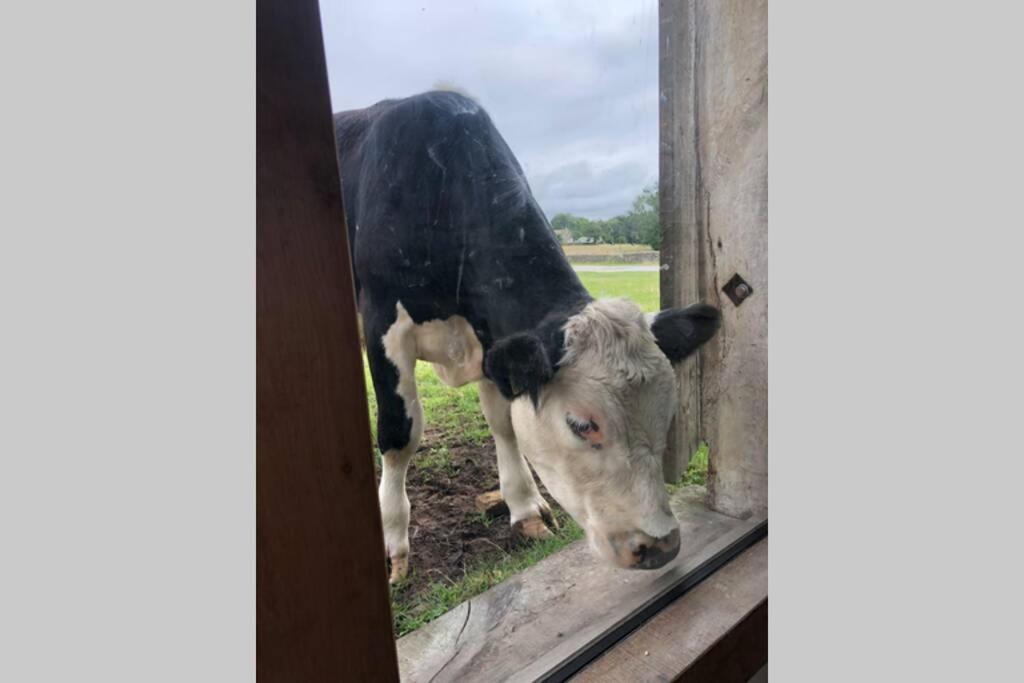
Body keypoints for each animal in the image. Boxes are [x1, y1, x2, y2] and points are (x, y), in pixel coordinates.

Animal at [335, 90, 720, 581]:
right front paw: (391, 543)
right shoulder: (384, 321)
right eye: (581, 425)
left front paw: (525, 508)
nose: (662, 545)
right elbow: (400, 433)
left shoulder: (494, 338)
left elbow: (504, 421)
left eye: (666, 411)